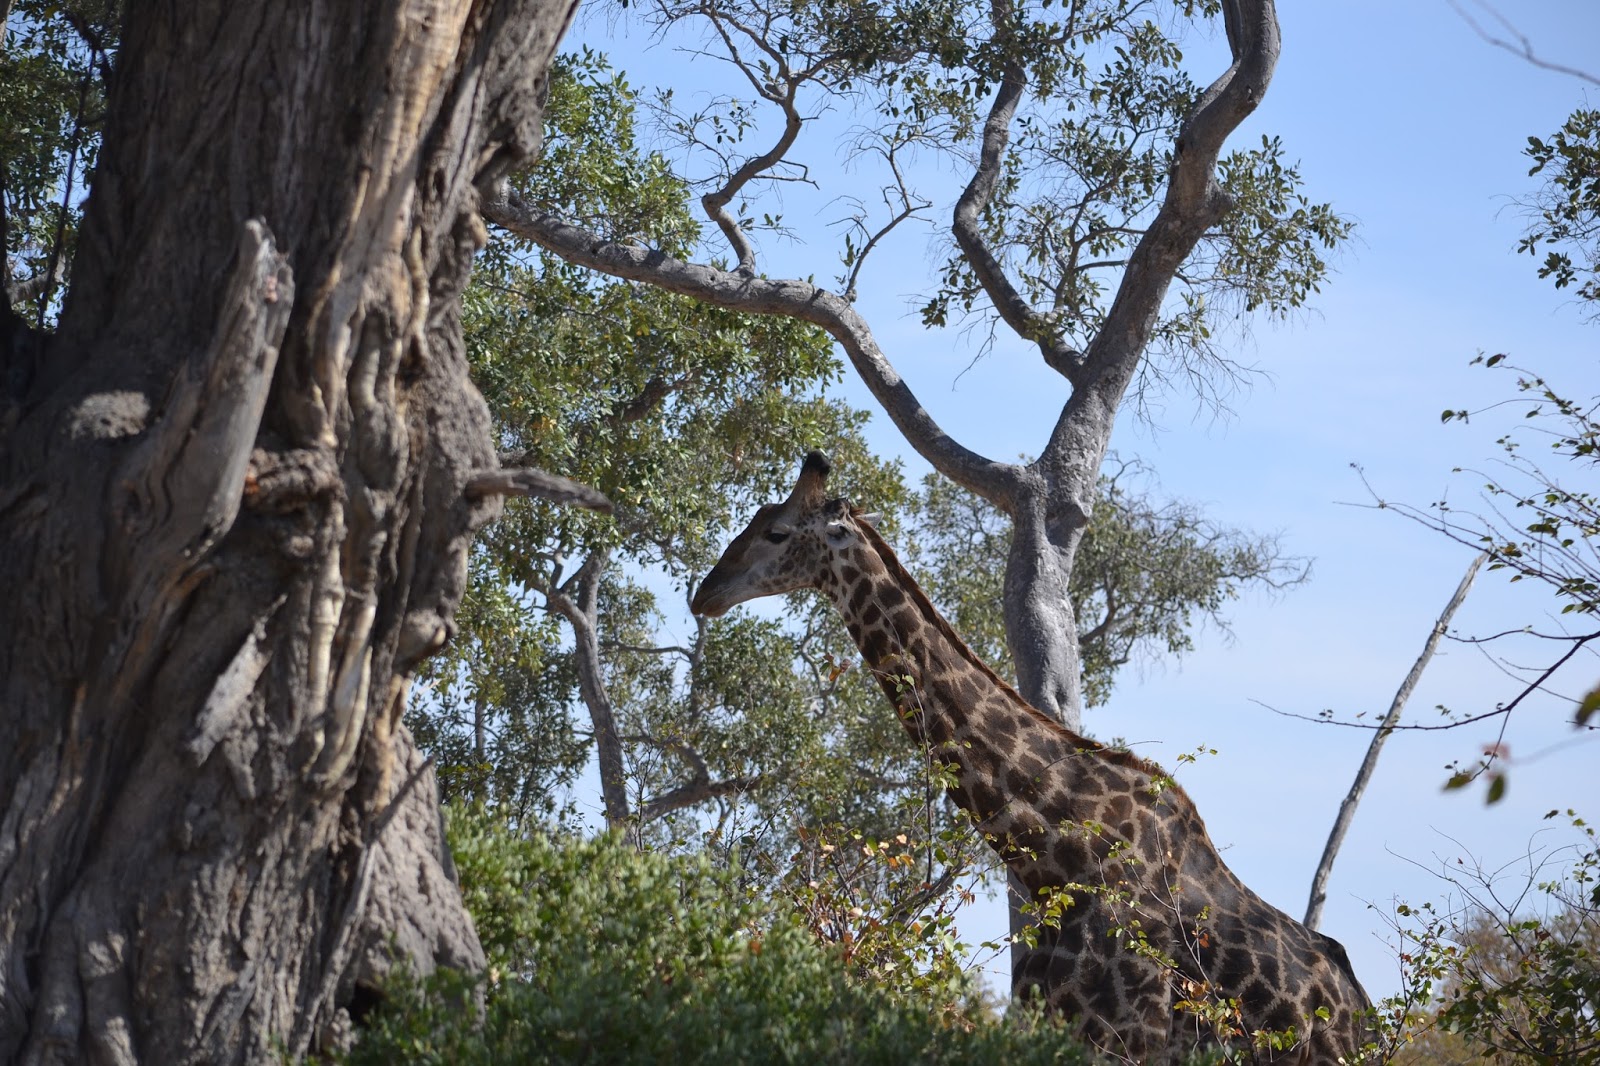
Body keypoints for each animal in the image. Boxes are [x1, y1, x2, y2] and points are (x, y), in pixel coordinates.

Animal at [691, 451, 1376, 1062]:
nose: (706, 593)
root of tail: (1362, 1014)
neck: (1054, 850)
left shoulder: (1126, 1040)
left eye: (777, 531)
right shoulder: (1047, 1022)